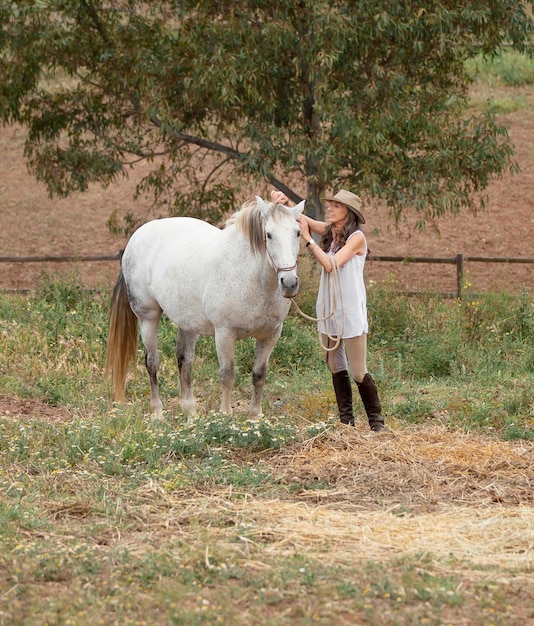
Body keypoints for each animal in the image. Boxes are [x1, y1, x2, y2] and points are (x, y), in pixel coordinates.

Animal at [105, 197, 306, 416]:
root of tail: (135, 239)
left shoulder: (270, 335)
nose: (289, 283)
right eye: (268, 235)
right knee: (152, 363)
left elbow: (259, 375)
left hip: (188, 323)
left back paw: (190, 413)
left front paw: (255, 416)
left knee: (184, 360)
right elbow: (227, 376)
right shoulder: (225, 334)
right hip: (148, 318)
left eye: (298, 232)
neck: (250, 276)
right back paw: (157, 412)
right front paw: (225, 414)